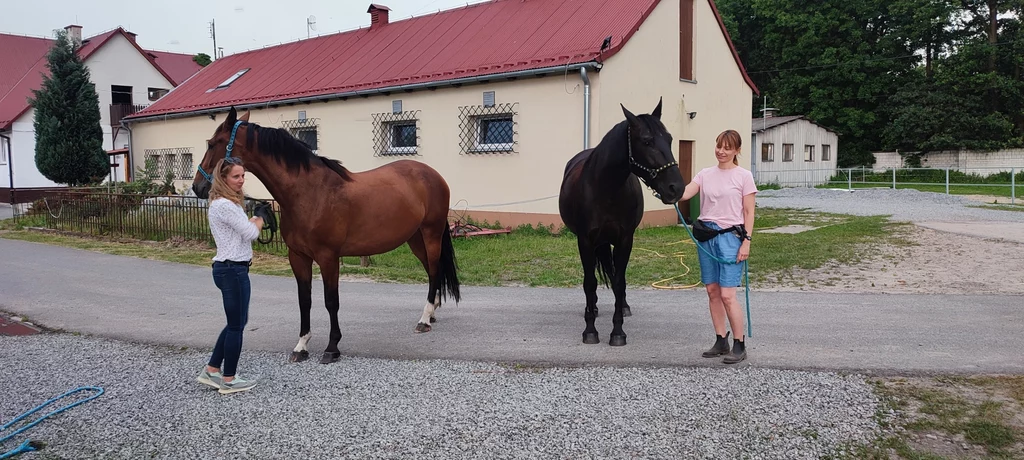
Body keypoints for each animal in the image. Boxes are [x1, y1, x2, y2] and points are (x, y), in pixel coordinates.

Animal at [191, 106, 460, 362]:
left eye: (212, 143)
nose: (197, 187)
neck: (309, 192)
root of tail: (433, 174)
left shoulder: (328, 257)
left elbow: (331, 301)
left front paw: (332, 348)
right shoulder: (298, 257)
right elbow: (305, 300)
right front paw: (301, 346)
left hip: (431, 234)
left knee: (433, 271)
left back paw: (424, 320)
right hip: (415, 239)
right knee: (432, 271)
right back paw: (431, 313)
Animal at [561, 98, 688, 346]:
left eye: (669, 139)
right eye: (647, 141)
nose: (676, 188)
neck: (606, 188)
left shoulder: (624, 240)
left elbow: (619, 281)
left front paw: (618, 331)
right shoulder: (585, 240)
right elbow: (590, 282)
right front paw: (590, 330)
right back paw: (593, 307)